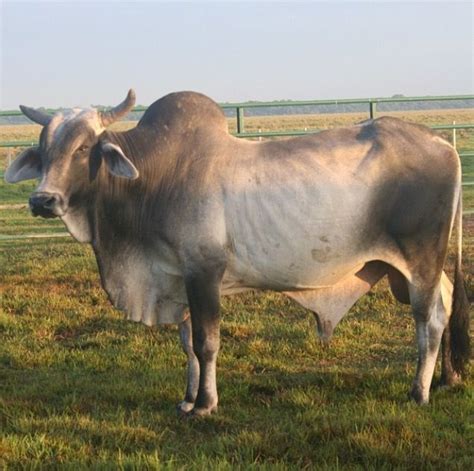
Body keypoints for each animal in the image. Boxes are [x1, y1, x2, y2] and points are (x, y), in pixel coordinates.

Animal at [4, 90, 470, 418]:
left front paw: (206, 405)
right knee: (446, 304)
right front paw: (187, 399)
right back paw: (446, 380)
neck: (154, 177)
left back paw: (419, 391)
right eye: (43, 150)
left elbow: (207, 343)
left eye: (83, 149)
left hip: (420, 260)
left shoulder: (204, 272)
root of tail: (442, 143)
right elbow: (188, 345)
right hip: (410, 271)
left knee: (427, 320)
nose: (43, 200)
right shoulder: (180, 278)